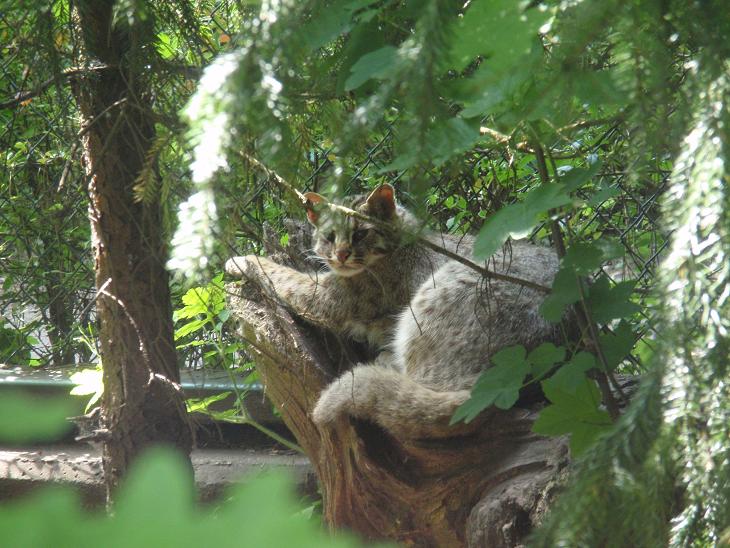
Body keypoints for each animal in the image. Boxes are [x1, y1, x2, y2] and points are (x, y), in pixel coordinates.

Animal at [225, 184, 560, 436]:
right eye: (329, 236)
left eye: (361, 233)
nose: (341, 254)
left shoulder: (329, 297)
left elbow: (280, 275)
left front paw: (240, 260)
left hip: (435, 297)